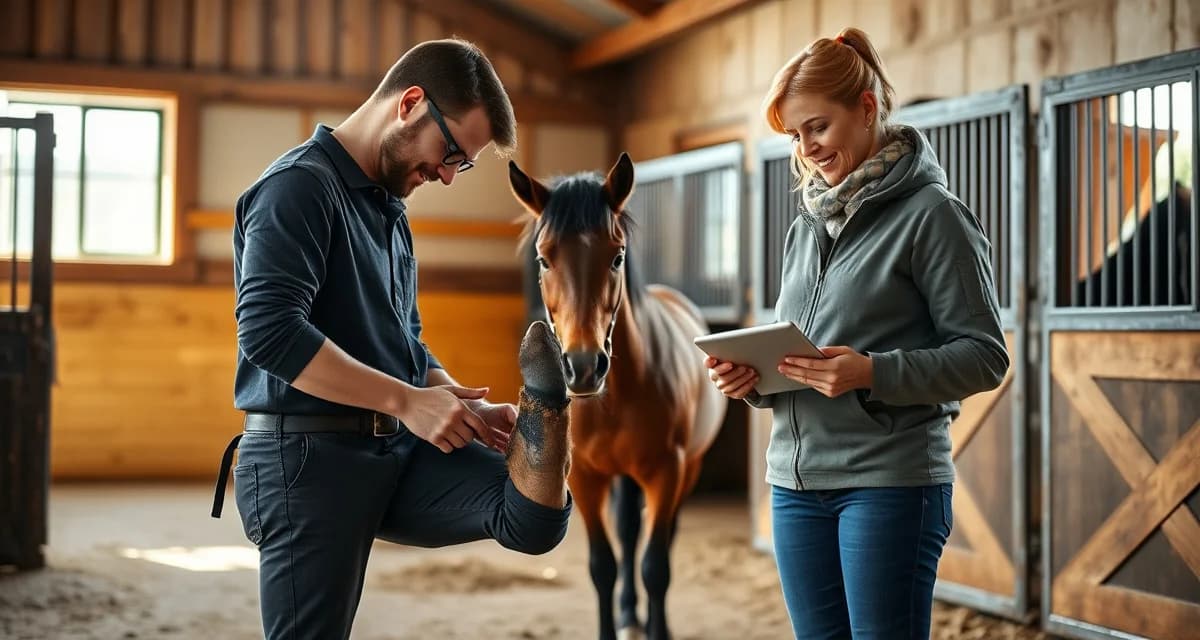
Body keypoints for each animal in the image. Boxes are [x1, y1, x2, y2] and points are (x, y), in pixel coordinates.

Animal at [508, 153, 727, 640]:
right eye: (543, 258)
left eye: (617, 256)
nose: (584, 366)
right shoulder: (586, 480)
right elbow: (603, 566)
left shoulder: (667, 472)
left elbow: (656, 566)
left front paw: (659, 629)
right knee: (627, 534)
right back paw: (629, 614)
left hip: (689, 468)